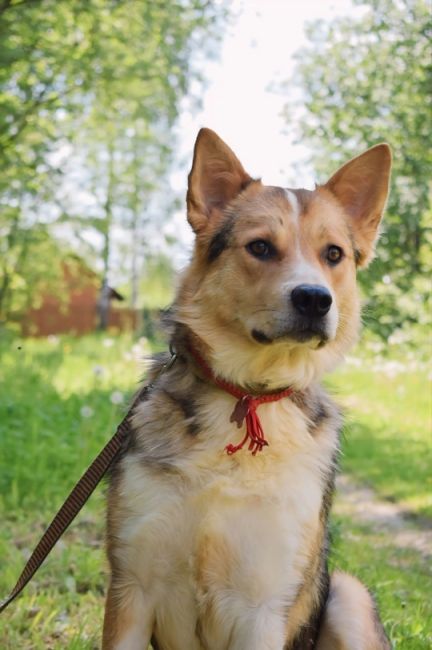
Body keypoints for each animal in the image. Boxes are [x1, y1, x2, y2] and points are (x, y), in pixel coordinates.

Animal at [103, 129, 394, 644]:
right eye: (259, 247)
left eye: (333, 254)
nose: (315, 299)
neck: (247, 396)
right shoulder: (131, 588)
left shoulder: (263, 606)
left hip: (349, 594)